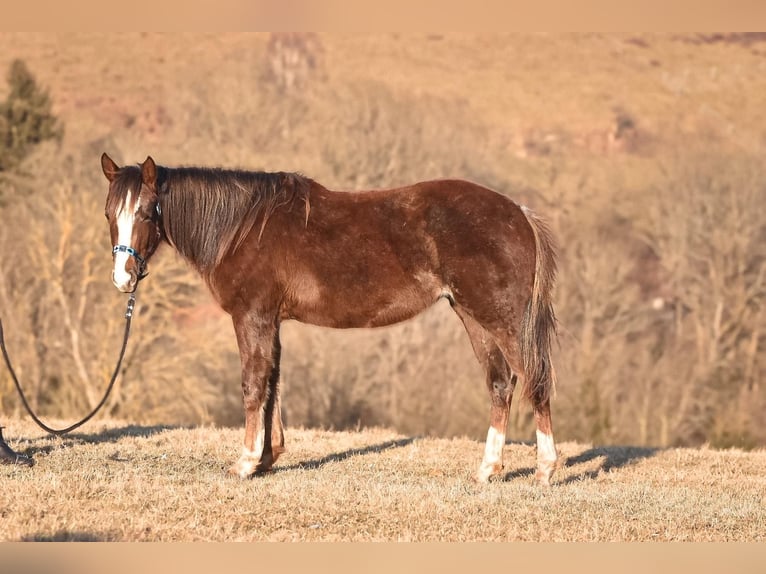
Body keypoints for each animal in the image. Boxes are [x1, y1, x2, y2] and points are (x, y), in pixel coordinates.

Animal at [99, 153, 560, 486]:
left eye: (146, 212)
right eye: (109, 214)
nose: (123, 278)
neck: (243, 228)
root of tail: (518, 212)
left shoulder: (252, 316)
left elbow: (253, 383)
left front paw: (245, 462)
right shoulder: (272, 321)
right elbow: (273, 382)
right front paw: (267, 458)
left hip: (502, 319)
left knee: (534, 381)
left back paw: (545, 469)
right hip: (472, 316)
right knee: (501, 384)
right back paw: (488, 470)